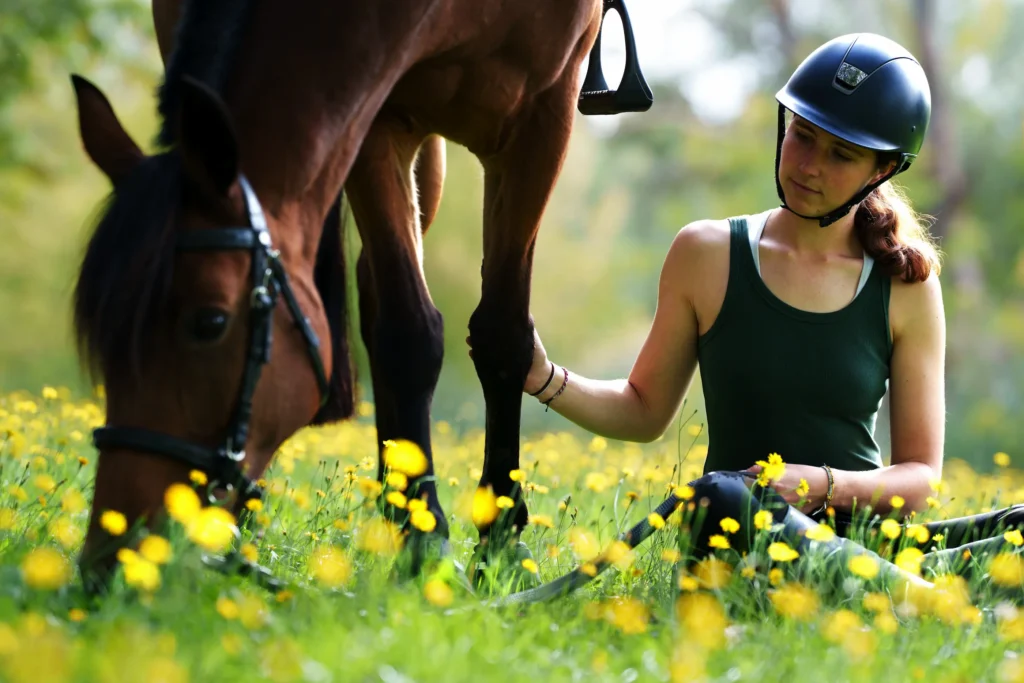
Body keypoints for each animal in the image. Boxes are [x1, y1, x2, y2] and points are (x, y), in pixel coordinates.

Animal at [72, 0, 650, 588]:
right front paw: (425, 539)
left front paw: (500, 543)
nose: (110, 558)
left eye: (209, 323)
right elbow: (408, 331)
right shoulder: (376, 117)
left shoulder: (542, 114)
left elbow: (502, 335)